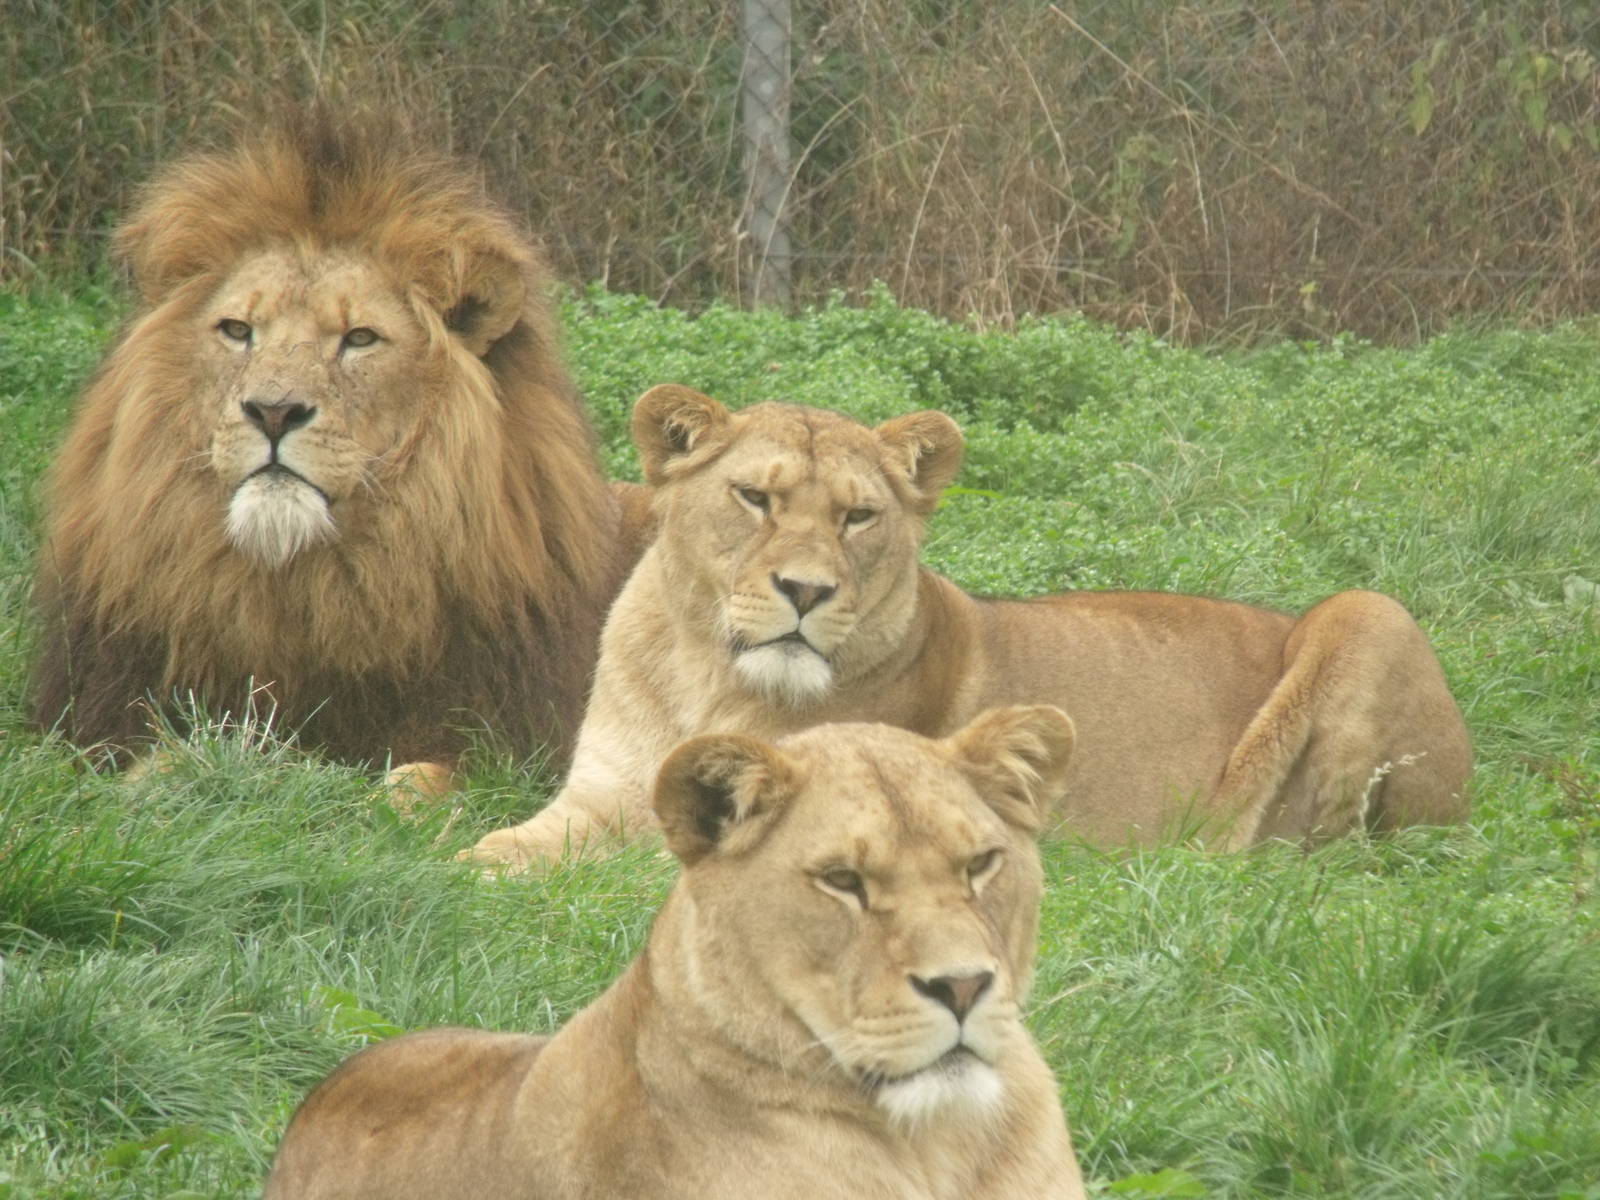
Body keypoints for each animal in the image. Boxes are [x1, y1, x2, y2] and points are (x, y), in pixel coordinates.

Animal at [29, 109, 647, 785]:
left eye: (360, 338)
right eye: (238, 330)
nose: (274, 411)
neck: (307, 586)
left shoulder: (515, 745)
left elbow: (423, 777)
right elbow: (156, 759)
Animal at [467, 384, 1471, 867]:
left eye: (858, 517)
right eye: (755, 499)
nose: (806, 592)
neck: (701, 671)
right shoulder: (595, 793)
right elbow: (498, 846)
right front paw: (457, 863)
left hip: (1369, 613)